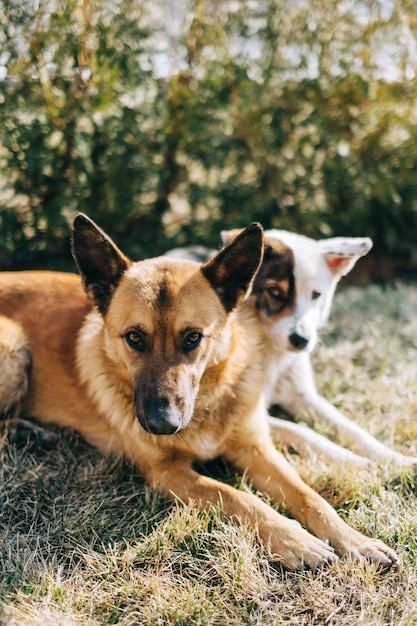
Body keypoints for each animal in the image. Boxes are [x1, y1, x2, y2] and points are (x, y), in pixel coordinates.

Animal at [168, 229, 416, 464]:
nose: (301, 340)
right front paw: (357, 461)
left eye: (316, 295)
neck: (271, 354)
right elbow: (303, 432)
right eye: (275, 292)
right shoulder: (247, 414)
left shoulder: (304, 396)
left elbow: (354, 430)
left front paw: (396, 459)